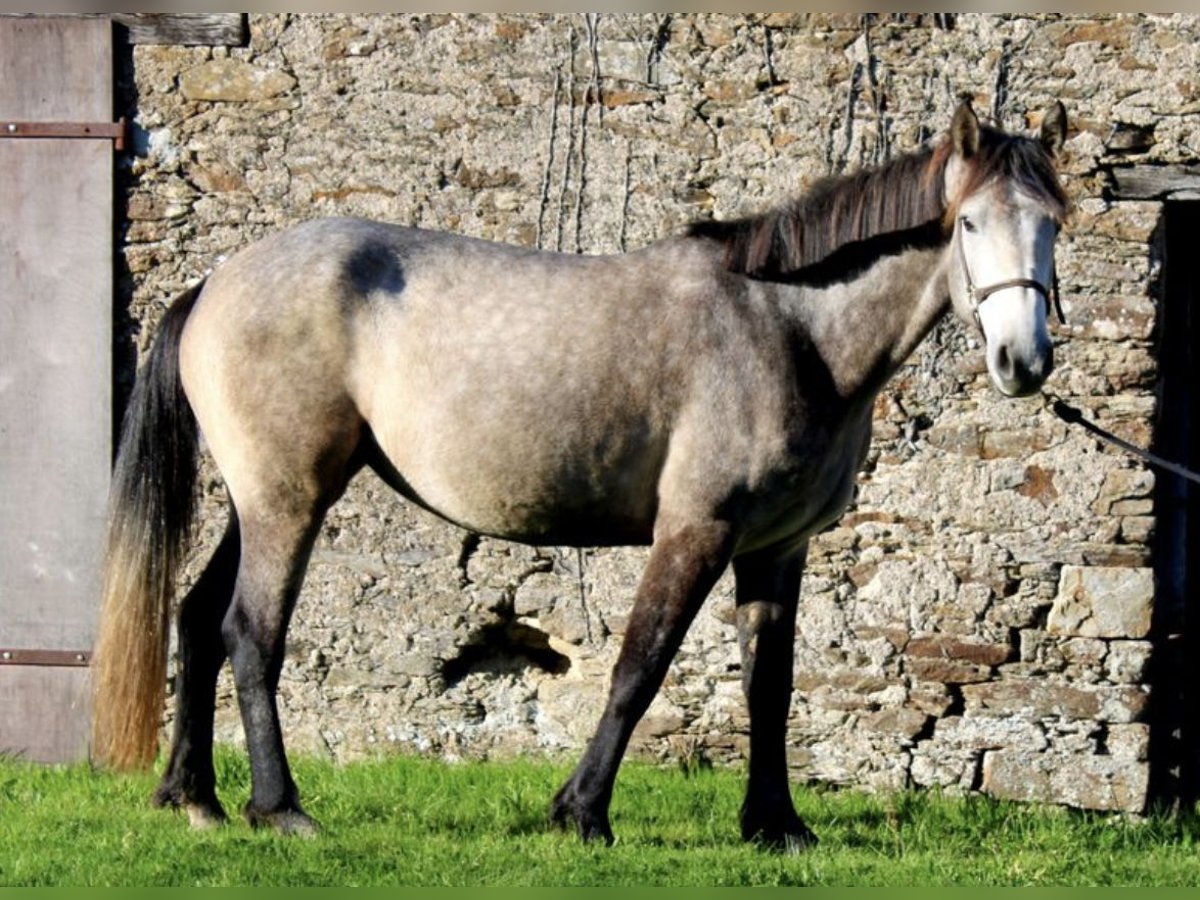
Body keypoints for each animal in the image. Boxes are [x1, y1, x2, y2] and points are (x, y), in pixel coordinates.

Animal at [93, 100, 1070, 854]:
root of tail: (215, 282)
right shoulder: (698, 530)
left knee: (198, 618)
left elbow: (770, 685)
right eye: (969, 224)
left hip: (257, 501)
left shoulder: (777, 548)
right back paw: (280, 809)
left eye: (1054, 223)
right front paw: (582, 813)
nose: (1023, 362)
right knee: (251, 632)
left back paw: (195, 799)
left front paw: (776, 825)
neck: (788, 328)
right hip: (290, 499)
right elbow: (641, 666)